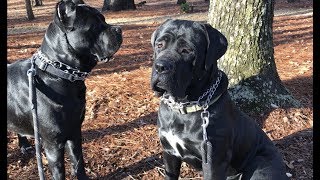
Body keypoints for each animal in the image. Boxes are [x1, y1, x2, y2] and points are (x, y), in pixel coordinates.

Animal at [7, 0, 122, 179]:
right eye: (95, 25)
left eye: (103, 19)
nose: (119, 29)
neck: (59, 74)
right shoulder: (53, 145)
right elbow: (59, 173)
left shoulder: (74, 132)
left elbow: (78, 163)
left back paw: (24, 146)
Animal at [150, 19, 288, 179]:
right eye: (159, 45)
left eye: (187, 50)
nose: (160, 66)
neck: (182, 107)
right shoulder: (169, 152)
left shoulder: (213, 160)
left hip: (260, 165)